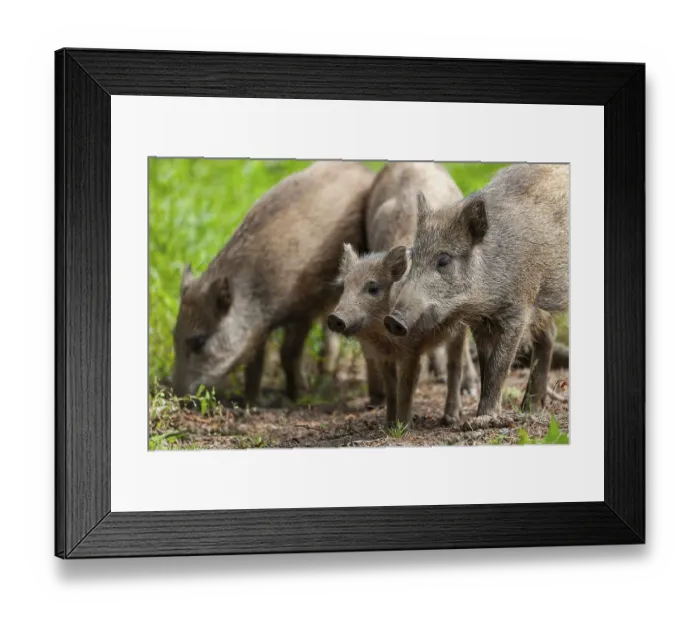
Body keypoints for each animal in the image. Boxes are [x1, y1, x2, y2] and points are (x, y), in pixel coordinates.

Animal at [172, 161, 375, 401]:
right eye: (174, 335)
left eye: (199, 341)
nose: (177, 395)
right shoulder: (259, 329)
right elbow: (255, 365)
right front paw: (252, 401)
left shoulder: (305, 307)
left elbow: (288, 352)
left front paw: (296, 397)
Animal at [328, 162, 477, 427]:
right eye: (344, 286)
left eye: (373, 288)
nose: (335, 318)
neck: (382, 335)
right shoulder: (383, 354)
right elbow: (392, 388)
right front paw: (388, 425)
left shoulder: (412, 348)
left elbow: (407, 386)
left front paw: (403, 426)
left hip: (459, 323)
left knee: (456, 362)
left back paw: (453, 414)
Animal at [385, 164, 569, 419]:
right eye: (413, 257)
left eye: (443, 260)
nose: (392, 320)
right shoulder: (479, 322)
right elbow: (485, 364)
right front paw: (479, 415)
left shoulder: (519, 309)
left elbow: (499, 365)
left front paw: (485, 417)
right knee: (549, 332)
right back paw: (530, 409)